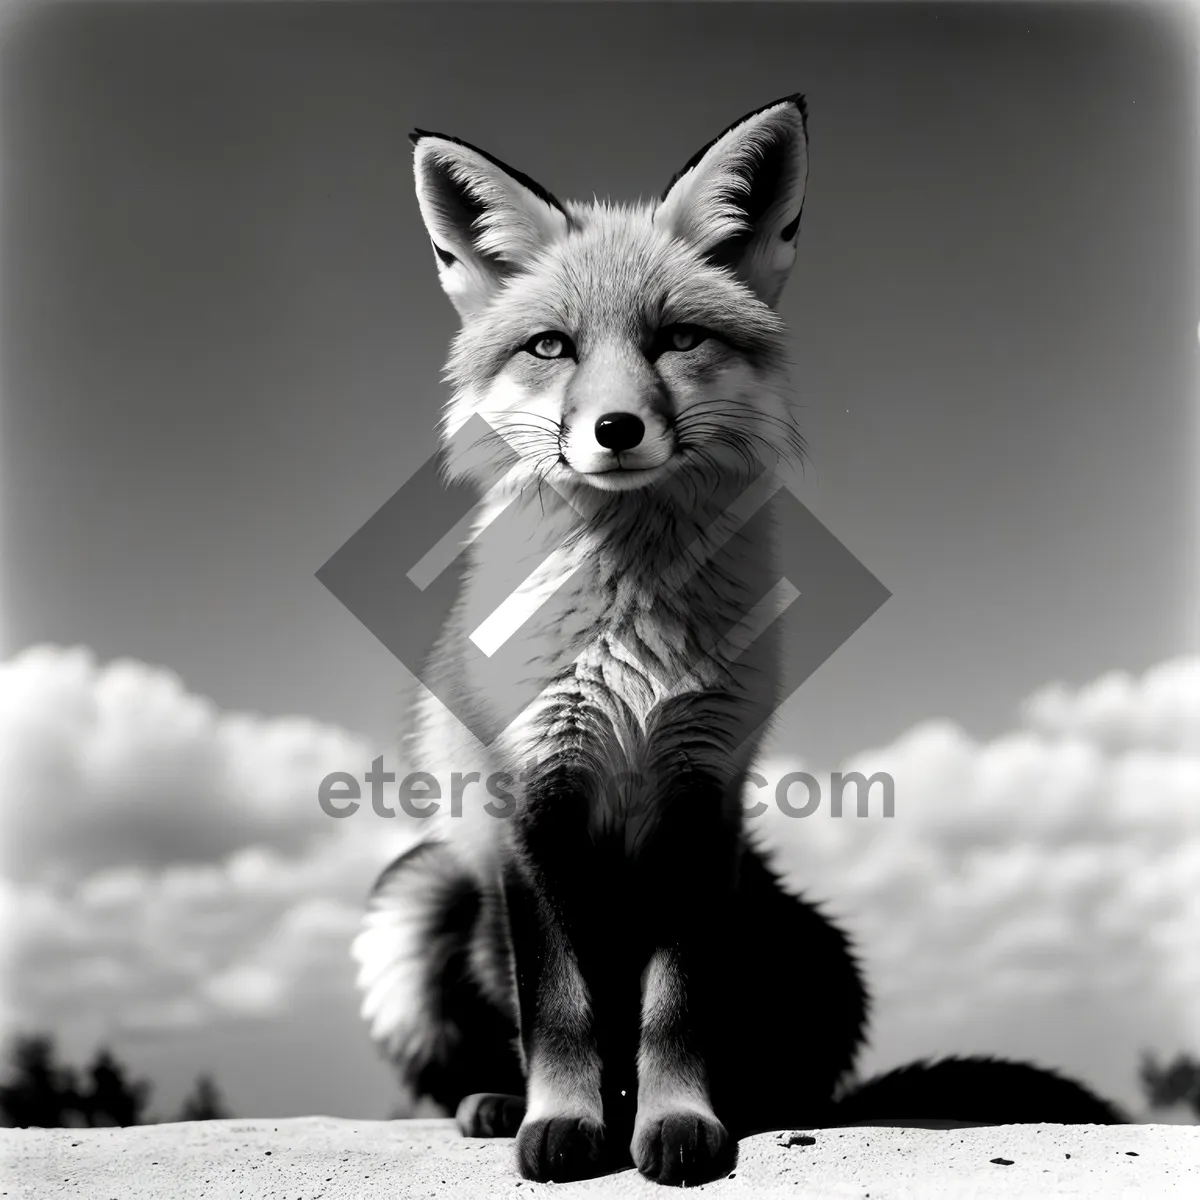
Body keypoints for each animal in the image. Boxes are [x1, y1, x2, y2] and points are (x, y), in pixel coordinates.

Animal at [350, 98, 1123, 1185]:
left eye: (677, 339)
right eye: (551, 347)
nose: (616, 429)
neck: (631, 638)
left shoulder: (701, 798)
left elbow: (675, 1007)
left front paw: (679, 1124)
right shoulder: (533, 806)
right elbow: (562, 1006)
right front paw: (563, 1125)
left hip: (819, 950)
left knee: (798, 1080)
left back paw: (742, 1106)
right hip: (419, 895)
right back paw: (505, 1104)